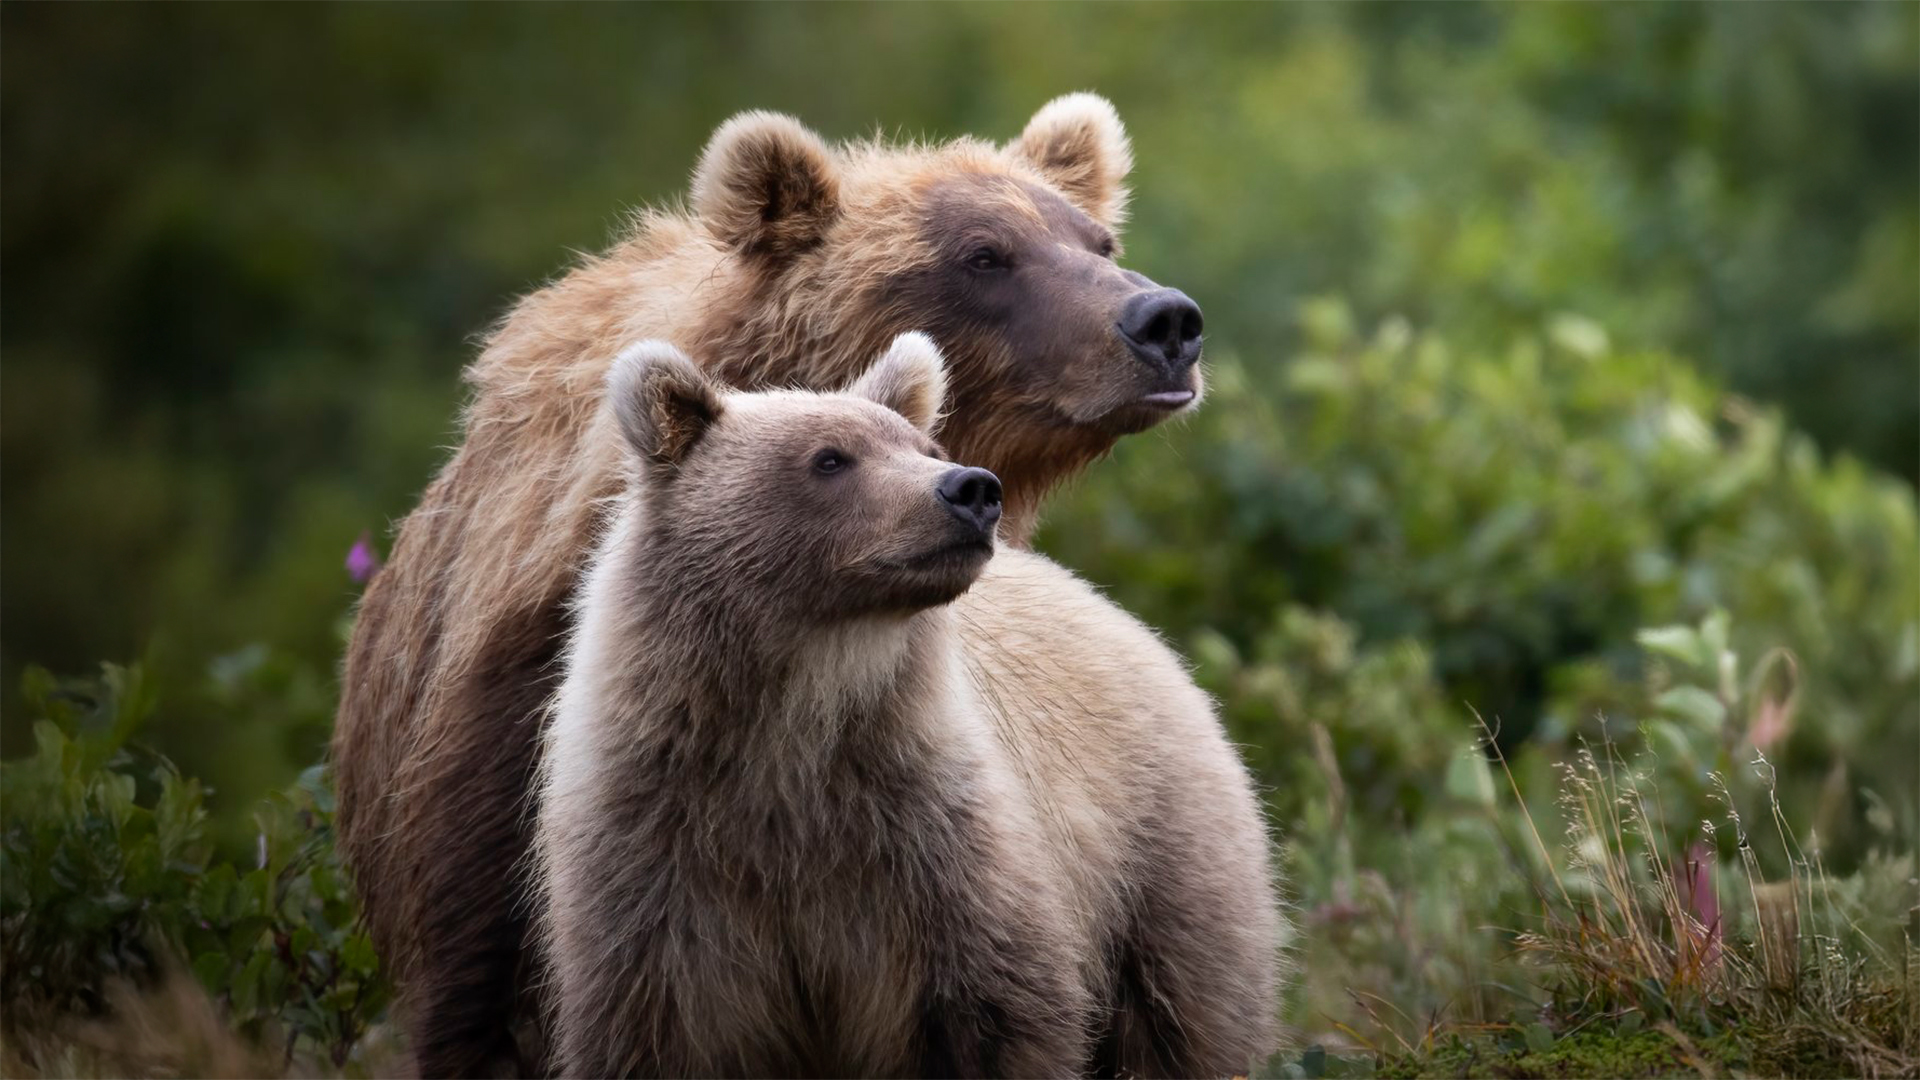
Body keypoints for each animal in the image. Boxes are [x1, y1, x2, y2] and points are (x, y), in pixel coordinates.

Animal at [533, 333, 1284, 1079]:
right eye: (830, 457)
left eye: (925, 446)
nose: (972, 489)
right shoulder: (658, 868)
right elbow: (656, 1026)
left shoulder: (929, 851)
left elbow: (1001, 1013)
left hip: (1162, 858)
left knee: (1186, 1020)